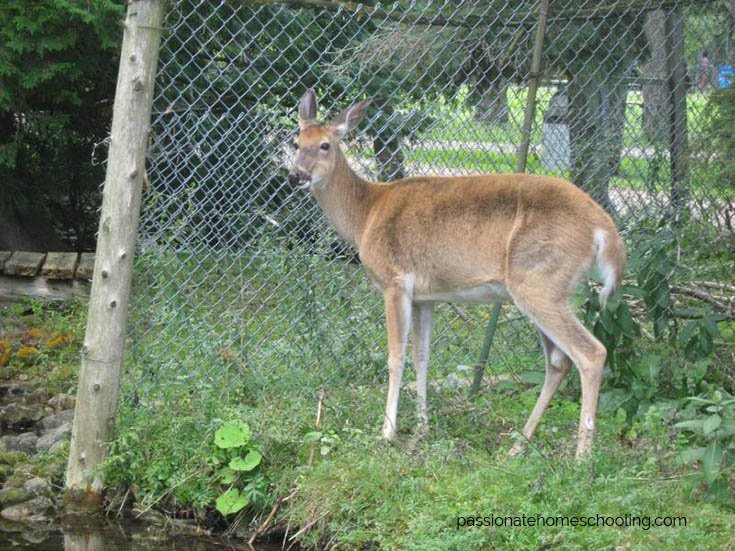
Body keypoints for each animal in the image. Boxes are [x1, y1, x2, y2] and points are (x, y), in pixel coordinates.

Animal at [288, 89, 626, 459]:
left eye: (325, 145)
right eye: (296, 141)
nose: (296, 176)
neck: (365, 214)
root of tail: (604, 229)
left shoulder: (394, 282)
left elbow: (396, 357)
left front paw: (387, 432)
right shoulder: (426, 297)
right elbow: (422, 357)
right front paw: (421, 430)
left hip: (539, 283)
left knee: (591, 353)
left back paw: (581, 457)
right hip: (557, 290)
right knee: (558, 362)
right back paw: (518, 446)